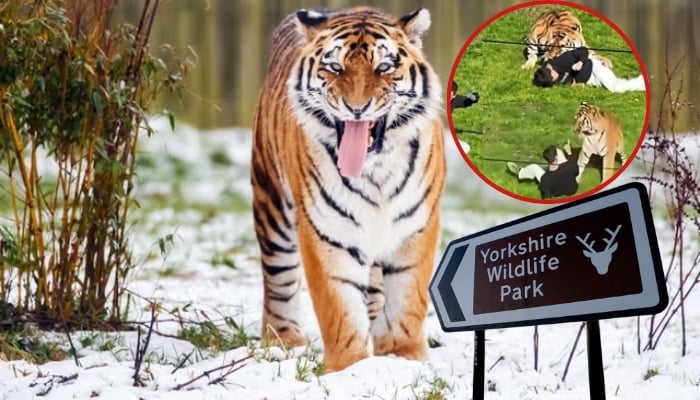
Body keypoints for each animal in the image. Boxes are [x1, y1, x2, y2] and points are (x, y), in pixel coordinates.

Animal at [251, 7, 445, 372]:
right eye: (335, 67)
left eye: (384, 67)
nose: (357, 108)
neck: (376, 170)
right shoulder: (327, 231)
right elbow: (340, 309)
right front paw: (350, 368)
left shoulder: (416, 227)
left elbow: (407, 299)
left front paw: (404, 356)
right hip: (272, 205)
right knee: (279, 279)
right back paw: (284, 341)